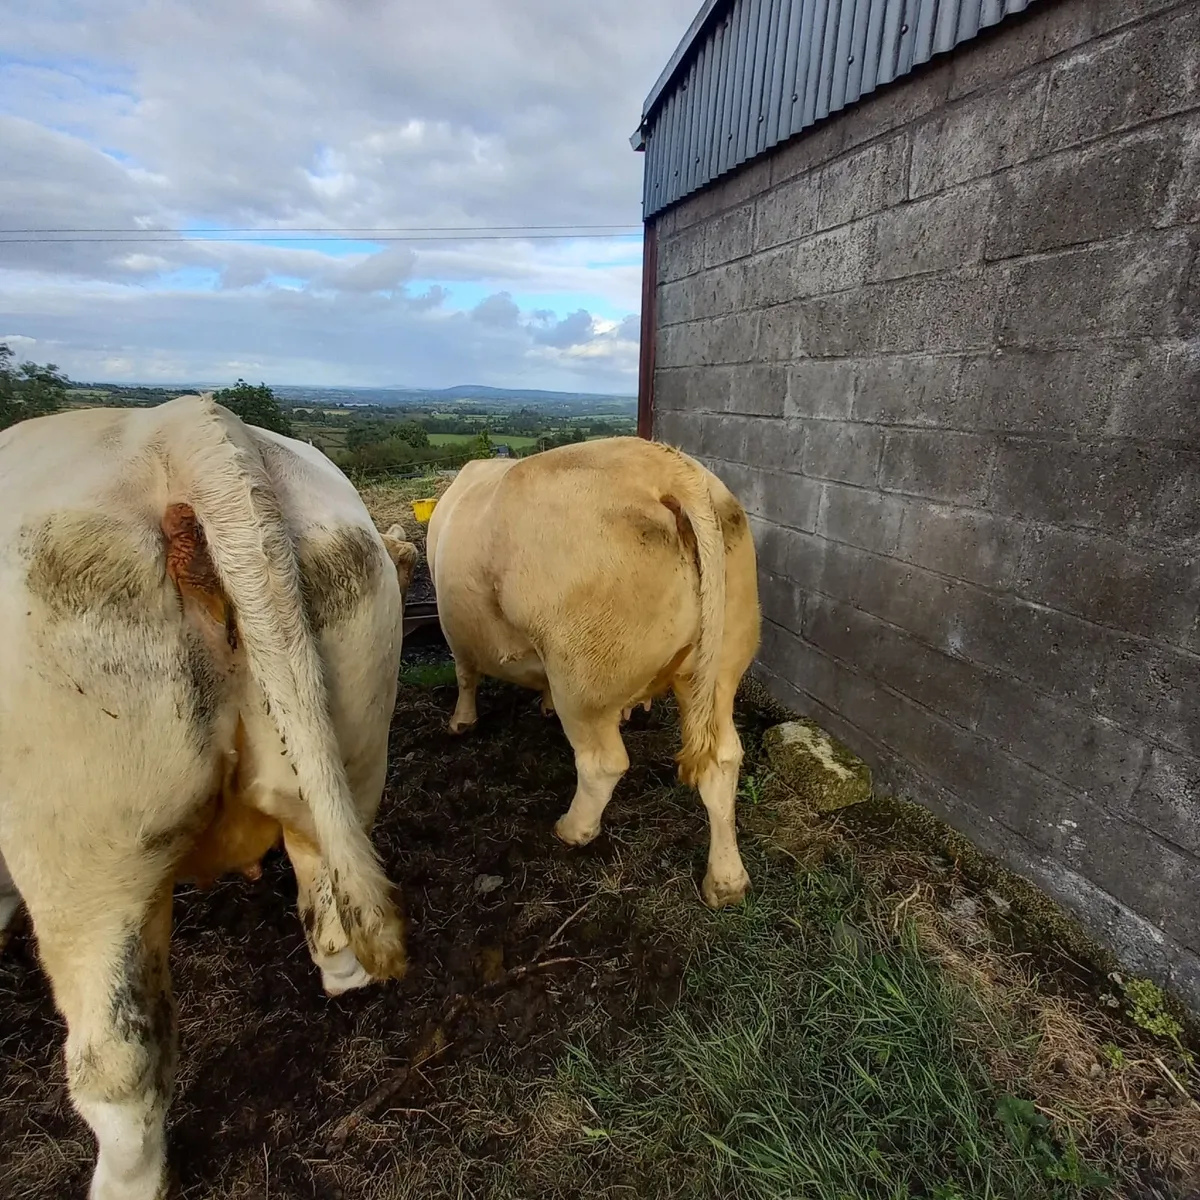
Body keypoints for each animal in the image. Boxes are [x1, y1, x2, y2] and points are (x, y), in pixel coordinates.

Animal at [0, 395, 415, 1200]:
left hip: (86, 853)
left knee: (118, 1059)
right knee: (330, 897)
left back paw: (127, 1183)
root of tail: (183, 427)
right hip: (351, 744)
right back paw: (344, 974)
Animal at [425, 436, 760, 909]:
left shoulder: (456, 631)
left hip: (583, 677)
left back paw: (571, 829)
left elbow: (464, 674)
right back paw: (727, 882)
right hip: (720, 668)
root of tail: (666, 466)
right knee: (723, 757)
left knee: (603, 764)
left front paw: (461, 722)